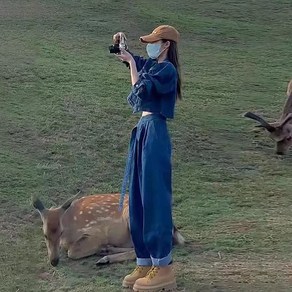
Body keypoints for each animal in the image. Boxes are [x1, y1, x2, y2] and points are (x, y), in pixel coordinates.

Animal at [32, 193, 185, 266]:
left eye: (61, 232)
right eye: (45, 235)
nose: (54, 261)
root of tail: (173, 229)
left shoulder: (96, 233)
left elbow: (72, 252)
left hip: (132, 219)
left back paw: (105, 258)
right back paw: (106, 250)